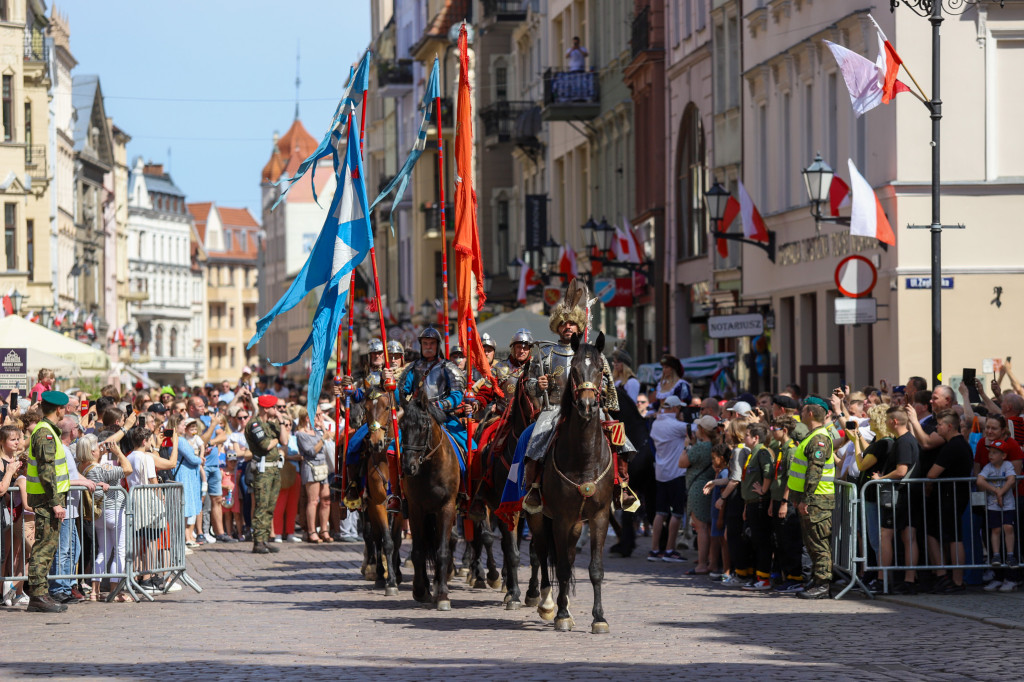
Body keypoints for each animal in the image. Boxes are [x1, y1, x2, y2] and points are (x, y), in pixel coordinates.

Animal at [399, 391, 460, 606]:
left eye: (423, 427)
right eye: (401, 426)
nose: (408, 467)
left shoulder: (447, 507)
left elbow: (442, 550)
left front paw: (442, 594)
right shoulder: (416, 509)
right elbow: (418, 551)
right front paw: (419, 590)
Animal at [528, 329, 614, 630]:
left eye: (600, 369)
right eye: (574, 370)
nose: (587, 405)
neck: (584, 459)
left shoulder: (599, 516)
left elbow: (595, 569)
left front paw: (599, 618)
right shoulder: (561, 517)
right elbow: (563, 568)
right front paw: (562, 614)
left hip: (577, 523)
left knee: (566, 554)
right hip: (539, 517)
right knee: (542, 553)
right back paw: (547, 604)